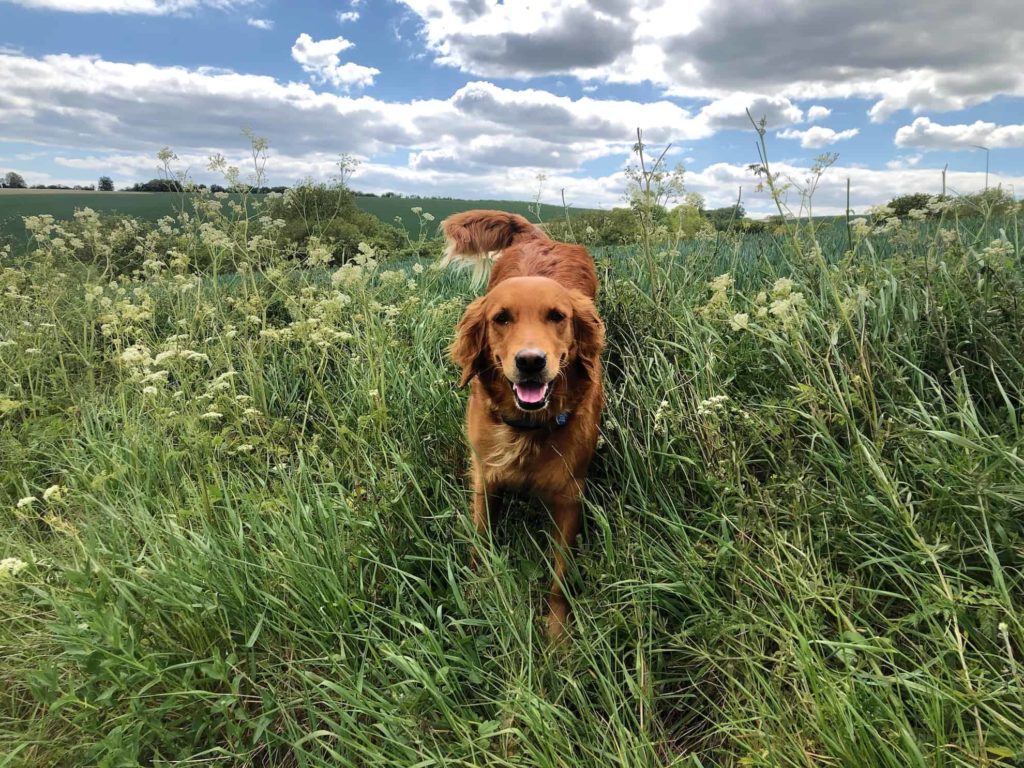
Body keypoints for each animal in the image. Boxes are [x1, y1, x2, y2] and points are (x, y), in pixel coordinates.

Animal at [442, 208, 602, 638]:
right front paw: (478, 596)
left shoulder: (569, 494)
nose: (531, 362)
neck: (528, 427)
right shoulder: (484, 476)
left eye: (557, 317)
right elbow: (481, 542)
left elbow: (560, 578)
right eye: (501, 318)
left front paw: (557, 638)